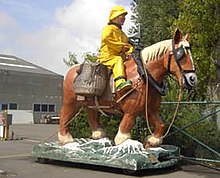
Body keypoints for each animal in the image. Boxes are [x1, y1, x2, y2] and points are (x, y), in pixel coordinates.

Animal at [57, 29, 197, 148]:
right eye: (181, 54)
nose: (192, 79)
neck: (144, 75)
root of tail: (71, 70)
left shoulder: (150, 110)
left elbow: (161, 125)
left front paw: (152, 141)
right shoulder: (131, 111)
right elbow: (124, 129)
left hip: (91, 103)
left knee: (92, 115)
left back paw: (99, 134)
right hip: (71, 102)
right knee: (64, 116)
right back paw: (66, 139)